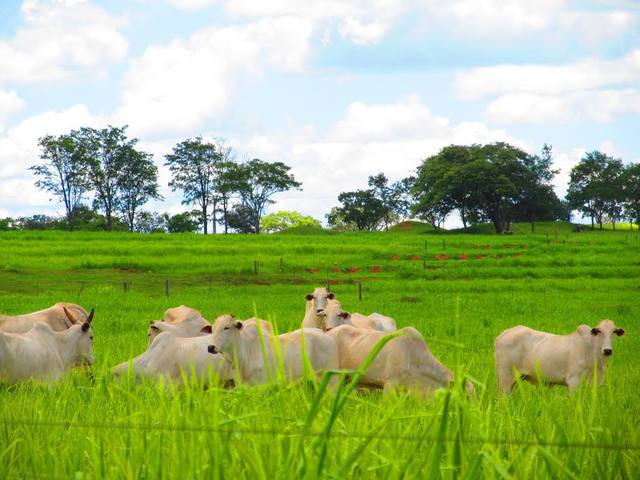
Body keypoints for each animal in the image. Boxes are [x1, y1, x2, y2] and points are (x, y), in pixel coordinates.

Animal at [496, 318, 624, 394]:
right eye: (599, 331)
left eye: (613, 332)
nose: (607, 350)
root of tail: (501, 335)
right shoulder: (573, 382)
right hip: (505, 378)